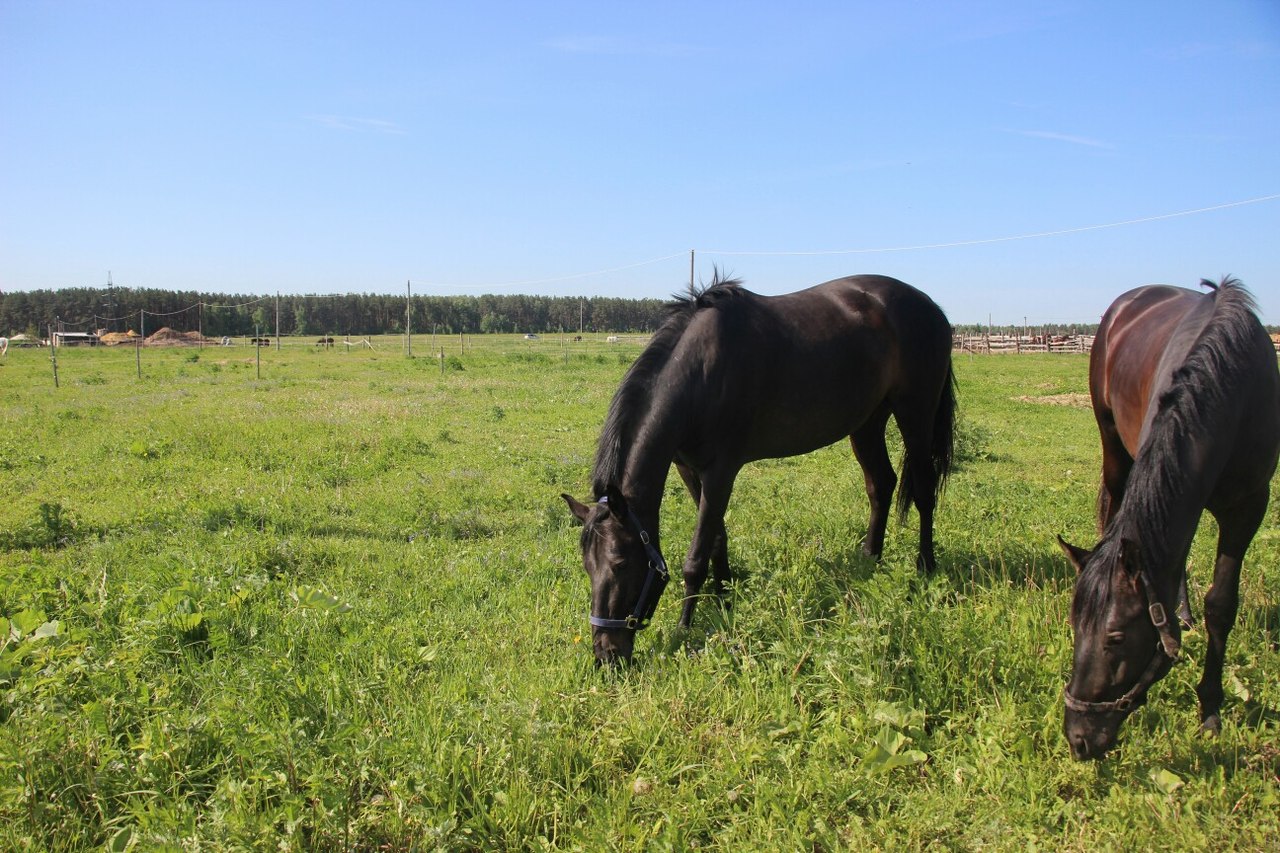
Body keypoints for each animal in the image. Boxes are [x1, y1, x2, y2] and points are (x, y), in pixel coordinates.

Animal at [565, 272, 957, 666]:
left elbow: (696, 556)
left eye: (619, 563)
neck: (700, 372)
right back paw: (869, 559)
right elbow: (716, 538)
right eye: (587, 565)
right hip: (867, 422)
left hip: (915, 413)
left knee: (924, 490)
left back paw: (924, 567)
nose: (605, 654)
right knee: (881, 484)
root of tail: (932, 308)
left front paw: (684, 628)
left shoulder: (721, 472)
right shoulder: (689, 469)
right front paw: (724, 597)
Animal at [1059, 277, 1280, 758]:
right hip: (1113, 448)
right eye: (1074, 626)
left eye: (1115, 638)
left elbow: (1222, 603)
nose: (1078, 738)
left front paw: (1211, 709)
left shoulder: (1248, 508)